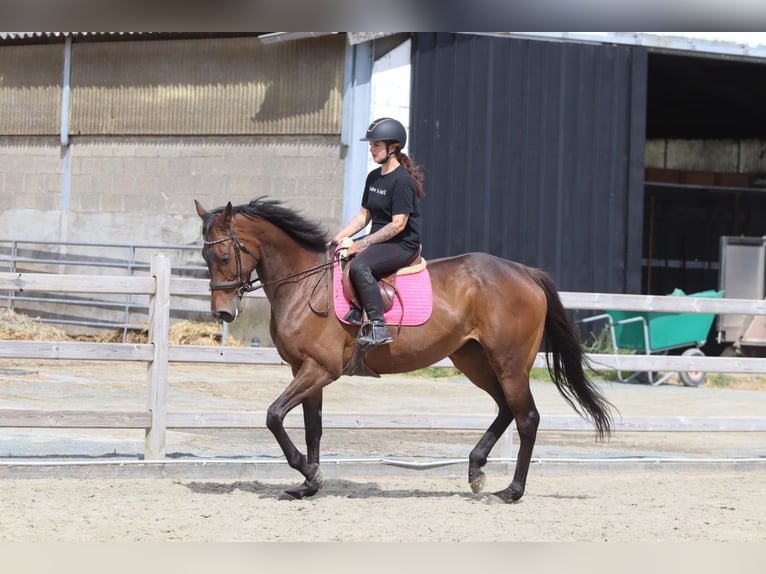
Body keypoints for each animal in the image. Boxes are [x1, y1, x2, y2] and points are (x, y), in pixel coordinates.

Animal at [194, 197, 614, 504]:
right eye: (205, 257)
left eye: (225, 256)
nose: (222, 313)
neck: (303, 284)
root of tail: (525, 272)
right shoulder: (305, 369)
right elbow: (312, 427)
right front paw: (308, 484)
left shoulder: (319, 370)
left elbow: (273, 415)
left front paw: (308, 471)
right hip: (474, 360)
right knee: (506, 409)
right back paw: (476, 470)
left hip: (509, 364)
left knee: (527, 418)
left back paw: (511, 491)